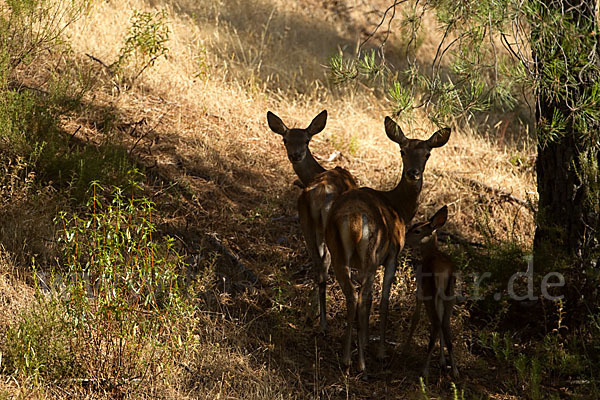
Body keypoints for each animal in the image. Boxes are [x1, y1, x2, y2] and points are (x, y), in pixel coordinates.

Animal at [268, 109, 356, 332]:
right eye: (285, 139)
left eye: (306, 140)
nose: (295, 155)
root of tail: (320, 194)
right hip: (329, 230)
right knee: (326, 264)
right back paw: (324, 322)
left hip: (306, 222)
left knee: (318, 264)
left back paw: (314, 318)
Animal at [324, 117, 450, 374]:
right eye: (402, 151)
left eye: (427, 154)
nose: (413, 173)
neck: (398, 207)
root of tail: (353, 219)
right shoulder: (392, 255)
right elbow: (383, 300)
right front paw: (380, 351)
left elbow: (372, 298)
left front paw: (364, 340)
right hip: (371, 254)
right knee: (360, 296)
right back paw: (360, 362)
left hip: (339, 253)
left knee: (352, 295)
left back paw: (347, 357)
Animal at [404, 206, 460, 378]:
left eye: (417, 230)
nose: (404, 238)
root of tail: (444, 271)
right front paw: (442, 361)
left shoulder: (420, 289)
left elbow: (415, 317)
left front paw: (405, 347)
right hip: (450, 294)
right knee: (445, 325)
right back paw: (455, 370)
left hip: (431, 292)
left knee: (436, 324)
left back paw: (424, 370)